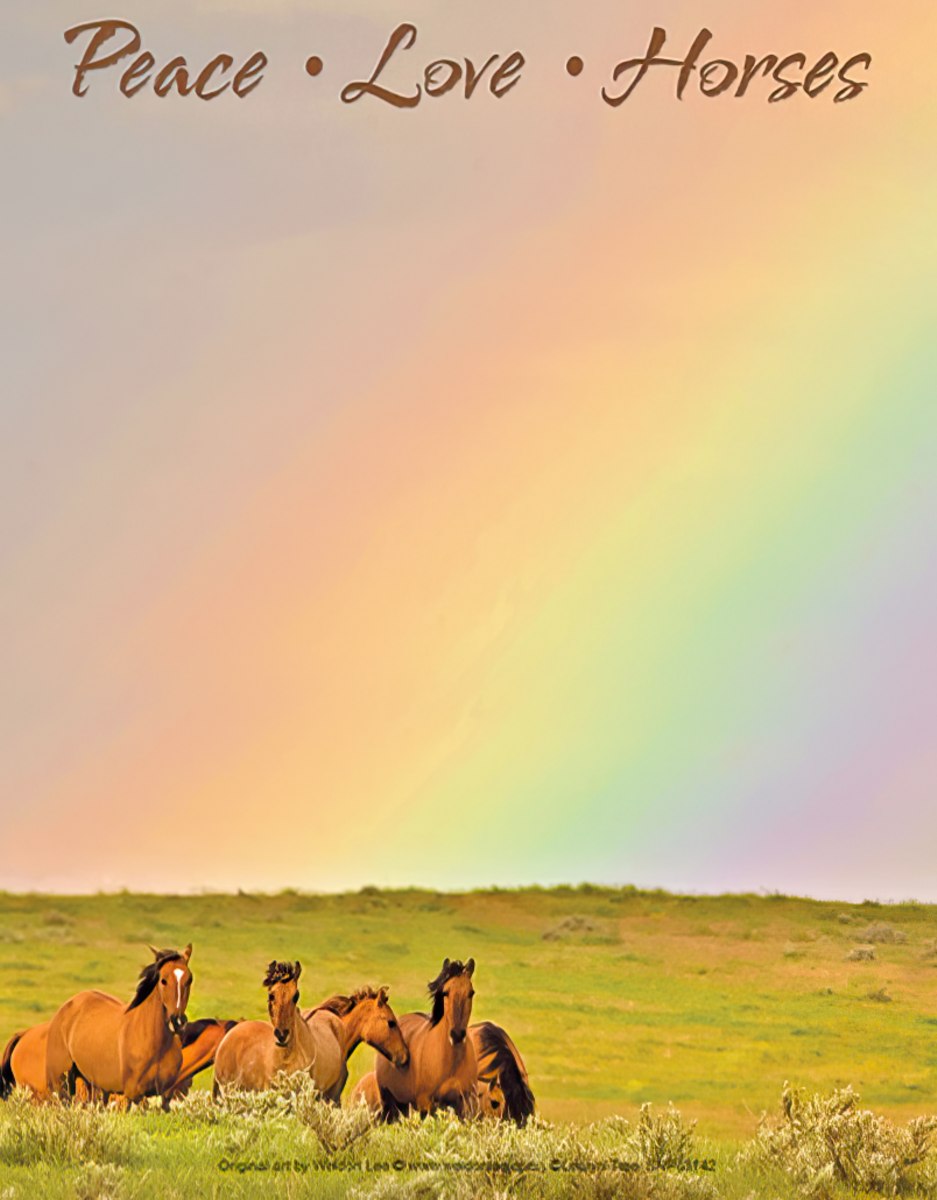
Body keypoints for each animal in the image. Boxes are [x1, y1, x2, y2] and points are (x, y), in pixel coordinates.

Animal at [45, 945, 192, 1104]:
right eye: (163, 980)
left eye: (190, 979)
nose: (177, 1021)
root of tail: (65, 1008)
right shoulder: (133, 1094)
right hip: (61, 1082)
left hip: (92, 1084)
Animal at [372, 957, 478, 1119]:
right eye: (445, 992)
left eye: (471, 993)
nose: (457, 1035)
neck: (452, 1062)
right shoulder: (425, 1104)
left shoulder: (463, 1104)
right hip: (389, 1102)